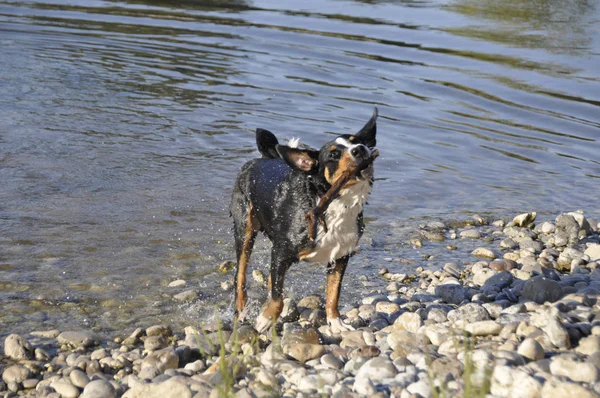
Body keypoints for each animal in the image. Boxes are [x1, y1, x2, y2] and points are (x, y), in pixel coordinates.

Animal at [231, 108, 380, 332]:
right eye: (334, 154)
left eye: (357, 141)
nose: (360, 149)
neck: (336, 205)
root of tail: (264, 158)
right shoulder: (281, 252)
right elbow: (277, 298)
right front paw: (265, 319)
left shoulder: (340, 256)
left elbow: (333, 295)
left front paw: (336, 323)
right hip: (245, 230)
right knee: (240, 275)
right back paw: (242, 310)